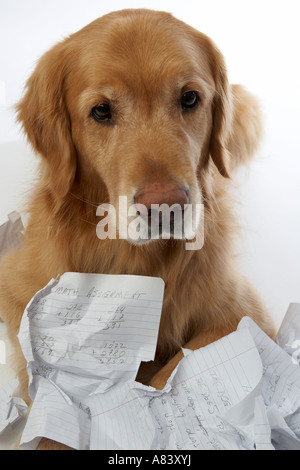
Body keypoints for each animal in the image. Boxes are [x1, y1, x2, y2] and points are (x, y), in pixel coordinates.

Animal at [0, 7, 276, 448]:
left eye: (190, 98)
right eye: (101, 111)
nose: (166, 207)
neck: (137, 261)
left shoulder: (243, 314)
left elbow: (171, 375)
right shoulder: (18, 292)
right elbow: (49, 394)